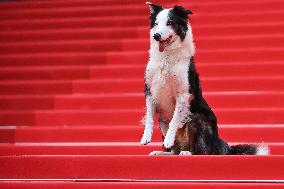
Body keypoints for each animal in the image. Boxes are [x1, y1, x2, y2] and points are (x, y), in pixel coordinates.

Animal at [141, 2, 270, 156]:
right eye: (156, 24)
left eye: (170, 23)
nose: (156, 35)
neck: (166, 57)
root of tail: (218, 143)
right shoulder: (150, 91)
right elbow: (149, 117)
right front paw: (146, 137)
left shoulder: (183, 94)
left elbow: (174, 120)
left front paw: (168, 140)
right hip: (162, 120)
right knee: (175, 151)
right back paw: (162, 152)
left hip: (197, 119)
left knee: (202, 152)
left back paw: (188, 152)